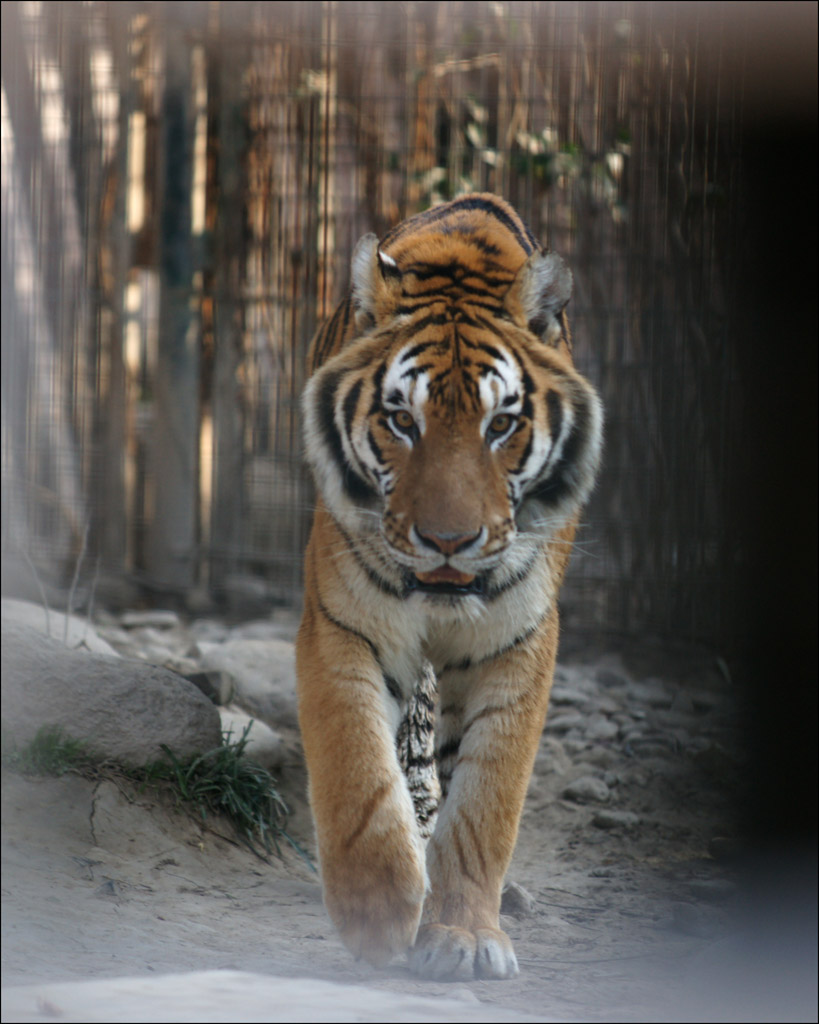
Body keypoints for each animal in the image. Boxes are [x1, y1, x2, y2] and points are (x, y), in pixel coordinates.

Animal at [296, 193, 606, 983]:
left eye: (502, 425)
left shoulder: (517, 639)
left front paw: (463, 935)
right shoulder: (343, 622)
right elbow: (354, 766)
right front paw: (378, 914)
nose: (446, 541)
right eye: (402, 419)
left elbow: (485, 805)